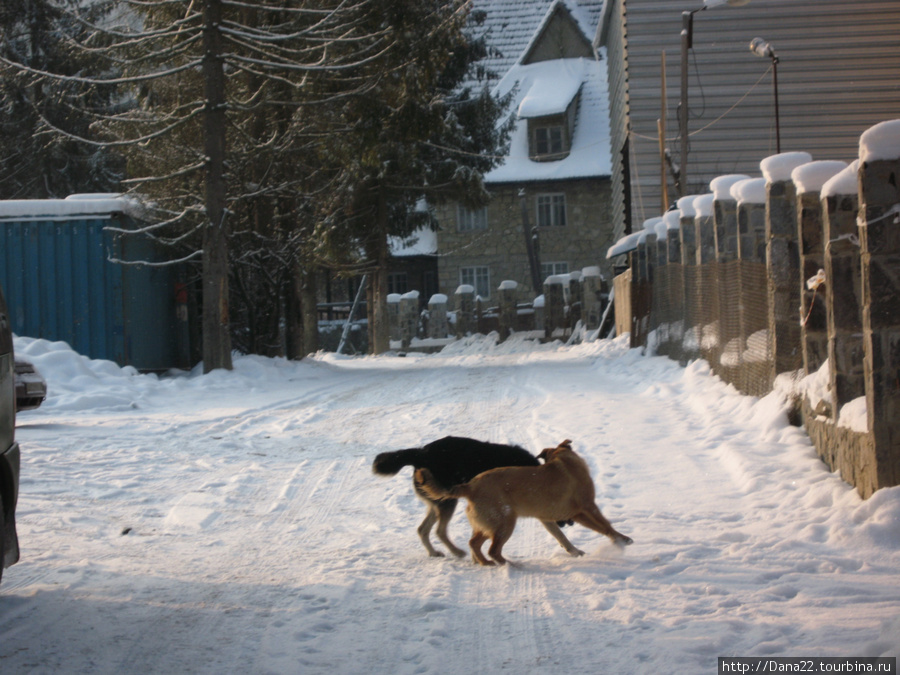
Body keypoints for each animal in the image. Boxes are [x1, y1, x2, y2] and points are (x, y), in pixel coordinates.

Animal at [372, 438, 584, 560]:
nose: (570, 522)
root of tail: (420, 452)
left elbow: (558, 534)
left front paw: (572, 550)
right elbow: (558, 534)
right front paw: (573, 550)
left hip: (438, 502)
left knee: (423, 529)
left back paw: (434, 553)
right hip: (448, 501)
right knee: (440, 531)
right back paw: (457, 552)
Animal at [416, 438, 632, 564]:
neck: (562, 457)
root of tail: (470, 486)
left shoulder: (561, 517)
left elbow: (565, 537)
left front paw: (578, 551)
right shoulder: (587, 507)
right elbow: (606, 526)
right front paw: (622, 540)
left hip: (487, 525)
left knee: (474, 544)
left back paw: (484, 563)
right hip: (504, 523)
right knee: (493, 550)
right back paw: (509, 564)